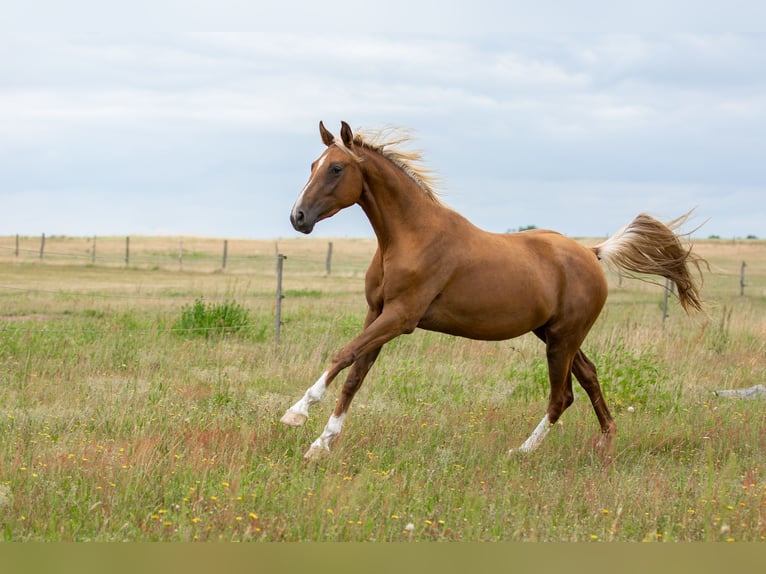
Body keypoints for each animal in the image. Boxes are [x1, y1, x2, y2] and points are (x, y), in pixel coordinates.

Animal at [281, 121, 705, 461]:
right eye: (313, 166)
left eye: (337, 168)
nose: (297, 217)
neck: (410, 237)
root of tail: (591, 252)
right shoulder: (378, 314)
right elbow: (355, 374)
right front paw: (320, 444)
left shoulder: (401, 318)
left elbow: (343, 355)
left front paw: (297, 413)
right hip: (554, 334)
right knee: (588, 377)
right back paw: (605, 443)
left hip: (562, 339)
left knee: (561, 396)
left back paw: (521, 452)